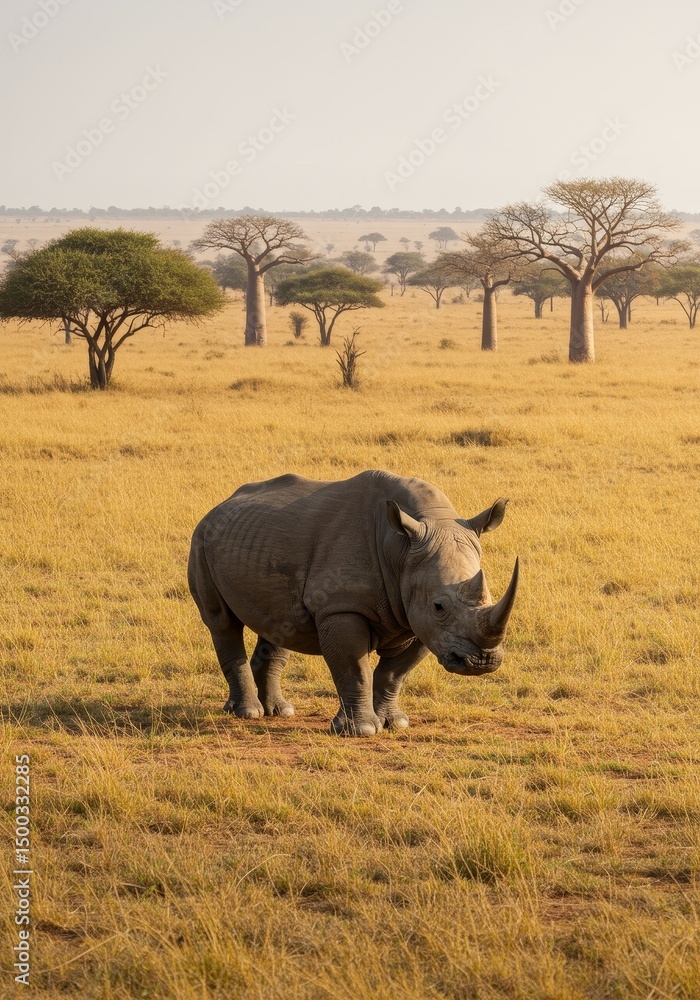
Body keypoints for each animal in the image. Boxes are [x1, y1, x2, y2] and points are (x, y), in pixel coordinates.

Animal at [188, 470, 519, 736]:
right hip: (201, 539)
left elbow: (394, 674)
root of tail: (220, 504)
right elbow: (354, 668)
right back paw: (247, 713)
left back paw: (280, 712)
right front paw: (360, 731)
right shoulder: (342, 606)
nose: (482, 661)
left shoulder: (418, 617)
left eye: (489, 596)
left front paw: (394, 724)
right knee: (222, 622)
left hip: (256, 540)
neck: (401, 550)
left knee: (280, 624)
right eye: (439, 607)